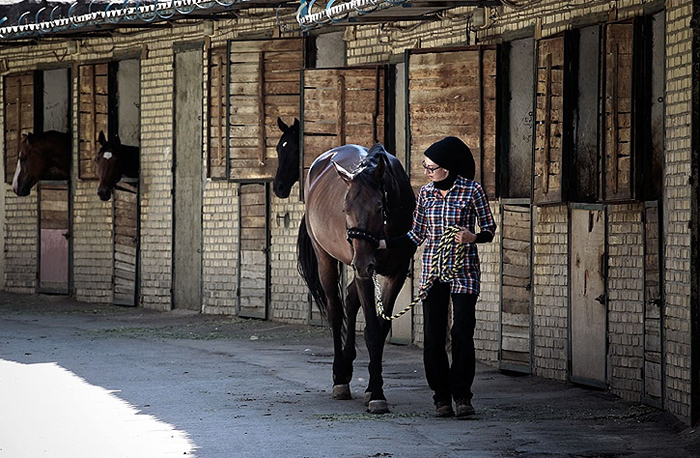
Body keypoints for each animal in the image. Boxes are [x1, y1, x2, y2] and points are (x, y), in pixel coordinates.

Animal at [274, 116, 416, 414]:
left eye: (379, 207)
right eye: (345, 209)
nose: (278, 187)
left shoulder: (395, 273)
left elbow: (380, 329)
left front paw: (374, 387)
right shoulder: (364, 273)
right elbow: (372, 329)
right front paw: (376, 392)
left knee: (349, 300)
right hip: (326, 259)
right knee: (336, 309)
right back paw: (340, 376)